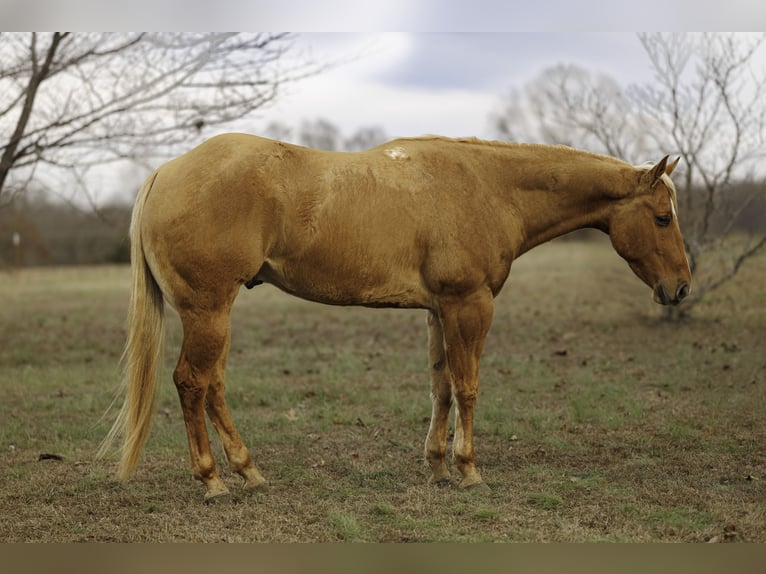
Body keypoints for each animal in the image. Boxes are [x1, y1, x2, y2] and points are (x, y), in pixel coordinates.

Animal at [99, 133, 691, 502]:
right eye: (662, 218)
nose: (680, 288)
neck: (488, 187)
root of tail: (165, 172)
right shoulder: (469, 305)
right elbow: (469, 386)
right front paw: (469, 470)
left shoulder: (439, 310)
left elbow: (442, 388)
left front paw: (437, 467)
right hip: (209, 311)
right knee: (192, 383)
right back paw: (213, 482)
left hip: (216, 315)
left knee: (213, 386)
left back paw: (250, 472)